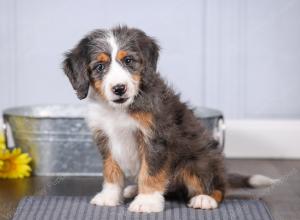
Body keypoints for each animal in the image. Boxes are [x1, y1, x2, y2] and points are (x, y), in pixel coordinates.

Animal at [62, 26, 276, 213]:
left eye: (128, 60)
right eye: (99, 67)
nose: (119, 88)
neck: (119, 109)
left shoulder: (155, 137)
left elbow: (151, 171)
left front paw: (147, 202)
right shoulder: (105, 138)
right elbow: (111, 170)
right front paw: (110, 196)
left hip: (197, 162)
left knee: (218, 187)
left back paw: (204, 198)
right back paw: (134, 189)